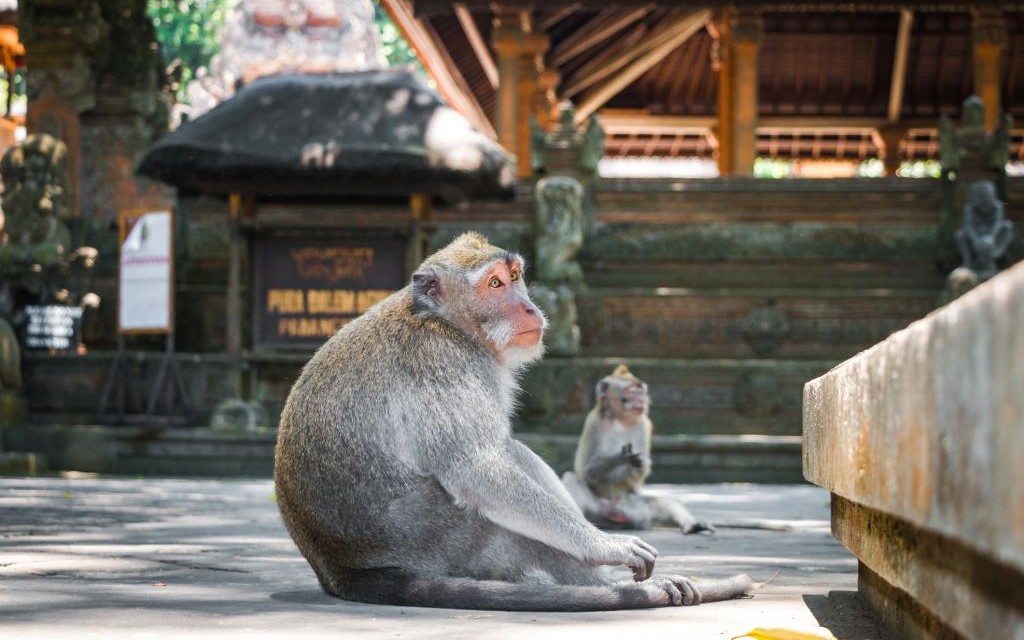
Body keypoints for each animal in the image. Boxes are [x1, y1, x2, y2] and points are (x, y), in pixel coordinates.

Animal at [561, 364, 712, 532]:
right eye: (632, 390)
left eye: (640, 391)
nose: (641, 399)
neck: (620, 420)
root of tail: (615, 512)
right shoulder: (594, 423)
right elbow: (588, 471)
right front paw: (621, 457)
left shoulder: (643, 425)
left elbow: (638, 472)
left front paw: (639, 463)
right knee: (571, 479)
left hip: (635, 507)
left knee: (661, 501)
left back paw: (692, 524)